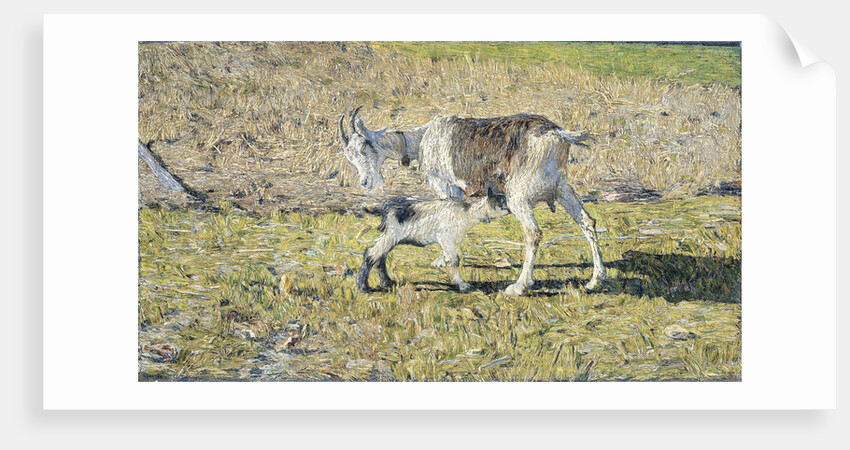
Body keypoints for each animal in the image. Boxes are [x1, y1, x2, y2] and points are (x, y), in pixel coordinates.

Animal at [356, 188, 510, 293]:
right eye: (503, 202)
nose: (512, 208)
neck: (467, 214)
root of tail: (384, 208)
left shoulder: (446, 242)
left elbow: (446, 256)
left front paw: (438, 263)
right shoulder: (446, 238)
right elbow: (455, 260)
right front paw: (462, 284)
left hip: (390, 237)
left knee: (380, 256)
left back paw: (387, 282)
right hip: (391, 235)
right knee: (371, 254)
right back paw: (363, 287)